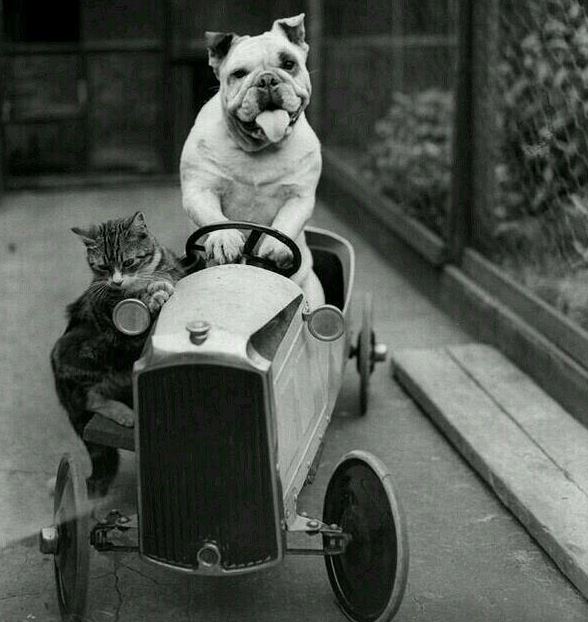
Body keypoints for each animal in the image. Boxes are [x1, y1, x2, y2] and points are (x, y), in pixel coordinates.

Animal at [52, 213, 184, 498]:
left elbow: (168, 279)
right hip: (75, 352)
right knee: (90, 398)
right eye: (102, 267)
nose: (116, 281)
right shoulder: (114, 319)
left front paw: (160, 289)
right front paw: (151, 296)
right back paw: (124, 414)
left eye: (128, 262)